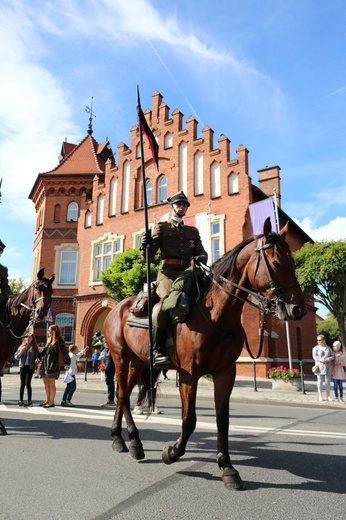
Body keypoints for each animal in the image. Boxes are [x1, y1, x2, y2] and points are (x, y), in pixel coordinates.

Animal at [102, 217, 306, 490]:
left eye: (293, 262)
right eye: (277, 263)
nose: (298, 309)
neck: (216, 317)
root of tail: (117, 307)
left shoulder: (225, 374)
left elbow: (223, 420)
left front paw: (227, 468)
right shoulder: (189, 375)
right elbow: (189, 420)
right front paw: (172, 452)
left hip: (139, 362)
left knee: (123, 395)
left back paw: (129, 441)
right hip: (120, 357)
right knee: (123, 395)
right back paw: (124, 440)